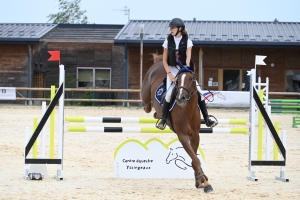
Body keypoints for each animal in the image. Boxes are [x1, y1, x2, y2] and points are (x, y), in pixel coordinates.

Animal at [141, 53, 213, 192]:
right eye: (178, 80)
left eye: (191, 79)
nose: (180, 98)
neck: (187, 110)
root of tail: (159, 62)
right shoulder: (183, 136)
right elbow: (195, 159)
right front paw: (206, 183)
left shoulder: (195, 136)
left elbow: (194, 158)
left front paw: (200, 181)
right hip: (145, 94)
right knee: (147, 104)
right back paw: (156, 114)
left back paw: (158, 115)